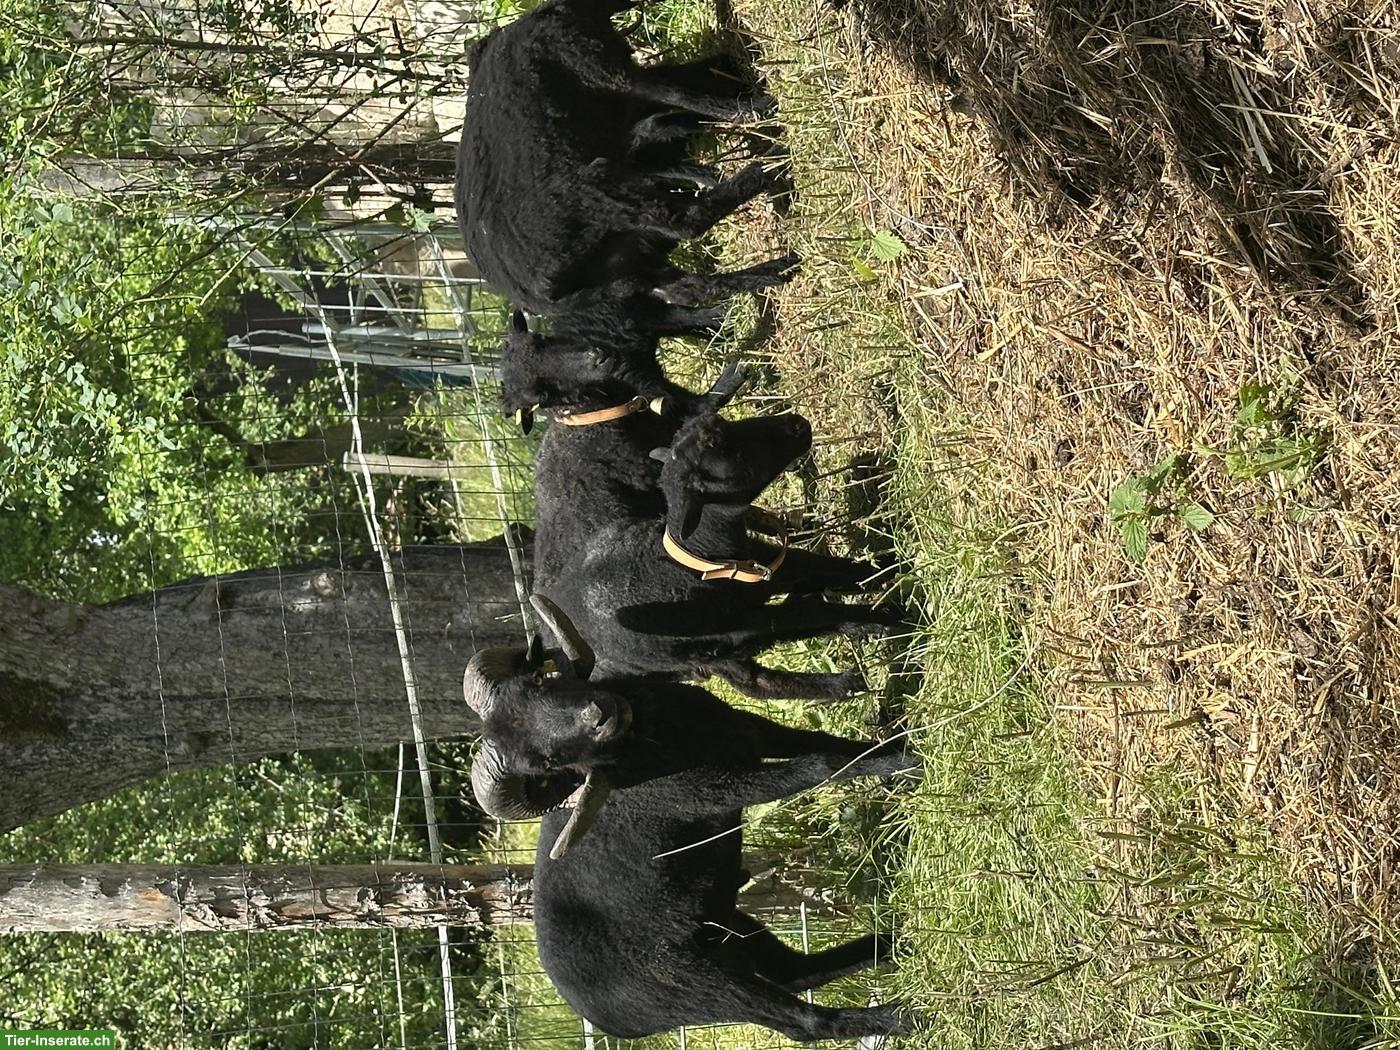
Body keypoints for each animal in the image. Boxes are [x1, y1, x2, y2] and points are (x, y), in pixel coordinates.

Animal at [456, 0, 792, 316]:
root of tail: (535, 298)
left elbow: (673, 110)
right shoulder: (602, 67)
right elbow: (677, 94)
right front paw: (752, 108)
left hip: (620, 259)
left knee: (690, 288)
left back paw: (780, 270)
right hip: (596, 195)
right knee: (688, 219)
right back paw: (773, 163)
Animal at [463, 594, 919, 1042]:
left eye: (540, 683)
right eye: (547, 761)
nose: (599, 714)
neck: (663, 736)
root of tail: (606, 1022)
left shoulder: (749, 729)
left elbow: (828, 744)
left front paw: (896, 751)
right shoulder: (713, 790)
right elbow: (822, 764)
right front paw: (904, 764)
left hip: (724, 928)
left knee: (796, 971)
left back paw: (895, 942)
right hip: (696, 985)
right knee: (803, 1023)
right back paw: (901, 1016)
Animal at [532, 404, 904, 701]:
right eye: (717, 445)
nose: (797, 424)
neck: (696, 559)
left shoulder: (774, 567)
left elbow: (832, 569)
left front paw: (890, 569)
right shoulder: (747, 619)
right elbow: (810, 613)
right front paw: (891, 614)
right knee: (756, 680)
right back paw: (845, 683)